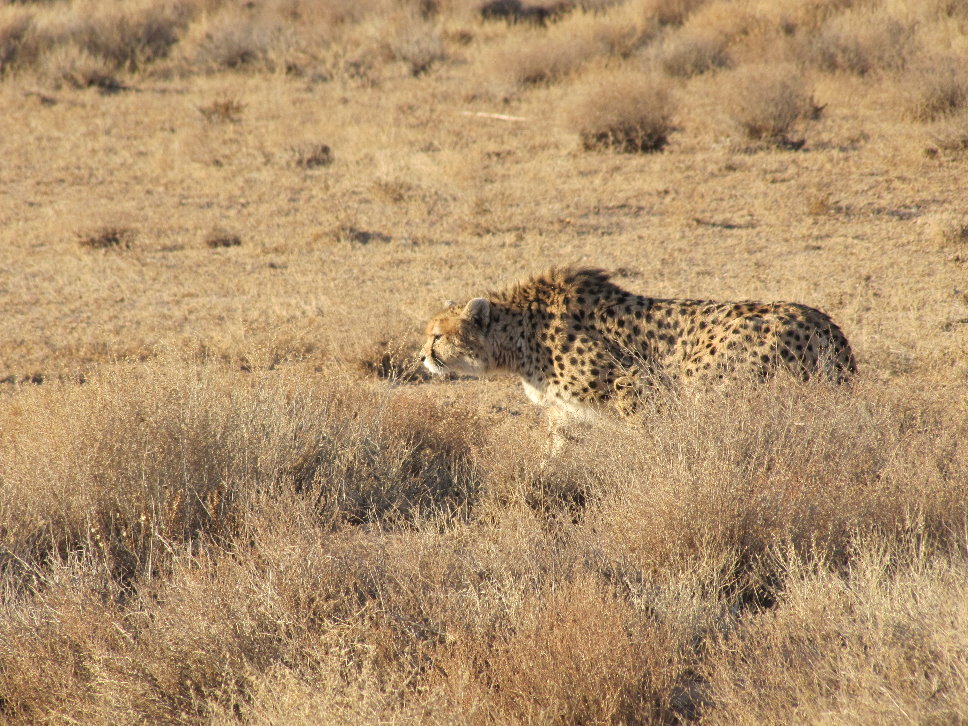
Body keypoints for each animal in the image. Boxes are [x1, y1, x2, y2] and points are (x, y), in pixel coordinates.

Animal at [420, 267, 856, 428]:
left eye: (436, 335)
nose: (421, 357)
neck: (520, 335)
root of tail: (824, 323)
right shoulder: (566, 414)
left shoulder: (634, 386)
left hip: (706, 382)